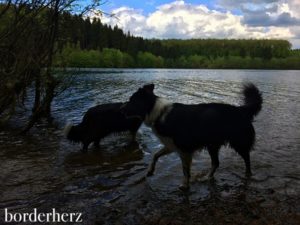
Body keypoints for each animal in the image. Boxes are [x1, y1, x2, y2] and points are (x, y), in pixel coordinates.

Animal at [122, 83, 262, 189]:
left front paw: (185, 185)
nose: (121, 109)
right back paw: (207, 177)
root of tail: (241, 109)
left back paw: (247, 175)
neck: (158, 113)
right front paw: (150, 171)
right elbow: (155, 155)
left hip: (238, 142)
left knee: (247, 160)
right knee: (216, 163)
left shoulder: (184, 149)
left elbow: (185, 170)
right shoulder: (172, 145)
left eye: (131, 101)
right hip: (212, 145)